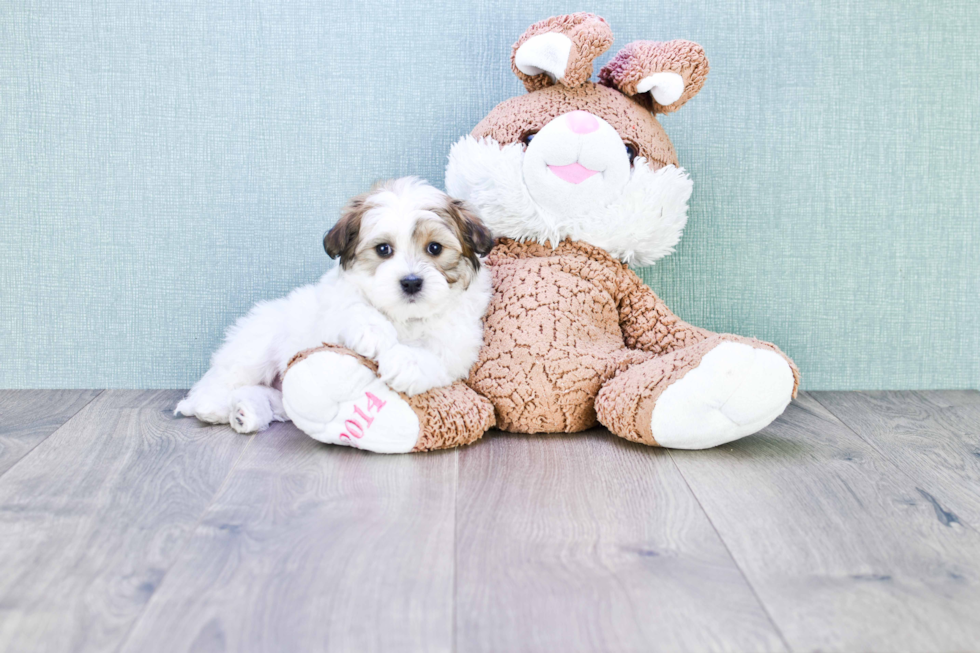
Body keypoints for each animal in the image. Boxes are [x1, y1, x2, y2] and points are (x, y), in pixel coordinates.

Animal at [176, 177, 494, 432]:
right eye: (383, 249)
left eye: (435, 248)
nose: (412, 282)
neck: (403, 318)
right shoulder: (334, 307)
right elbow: (354, 308)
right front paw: (374, 333)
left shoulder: (457, 344)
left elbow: (435, 355)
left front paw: (406, 364)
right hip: (256, 346)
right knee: (226, 377)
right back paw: (210, 406)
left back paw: (245, 413)